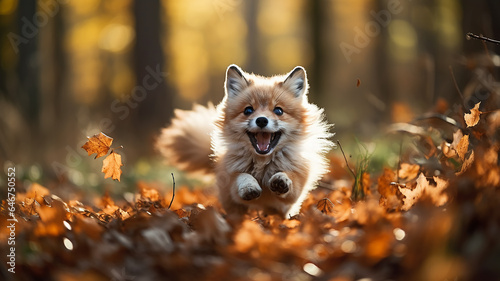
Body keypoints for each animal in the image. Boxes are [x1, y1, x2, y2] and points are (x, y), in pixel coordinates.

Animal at [156, 65, 334, 217]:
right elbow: (242, 176)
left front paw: (281, 179)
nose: (261, 120)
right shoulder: (231, 184)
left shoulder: (293, 193)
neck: (262, 165)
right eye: (248, 110)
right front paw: (249, 186)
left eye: (278, 111)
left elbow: (288, 178)